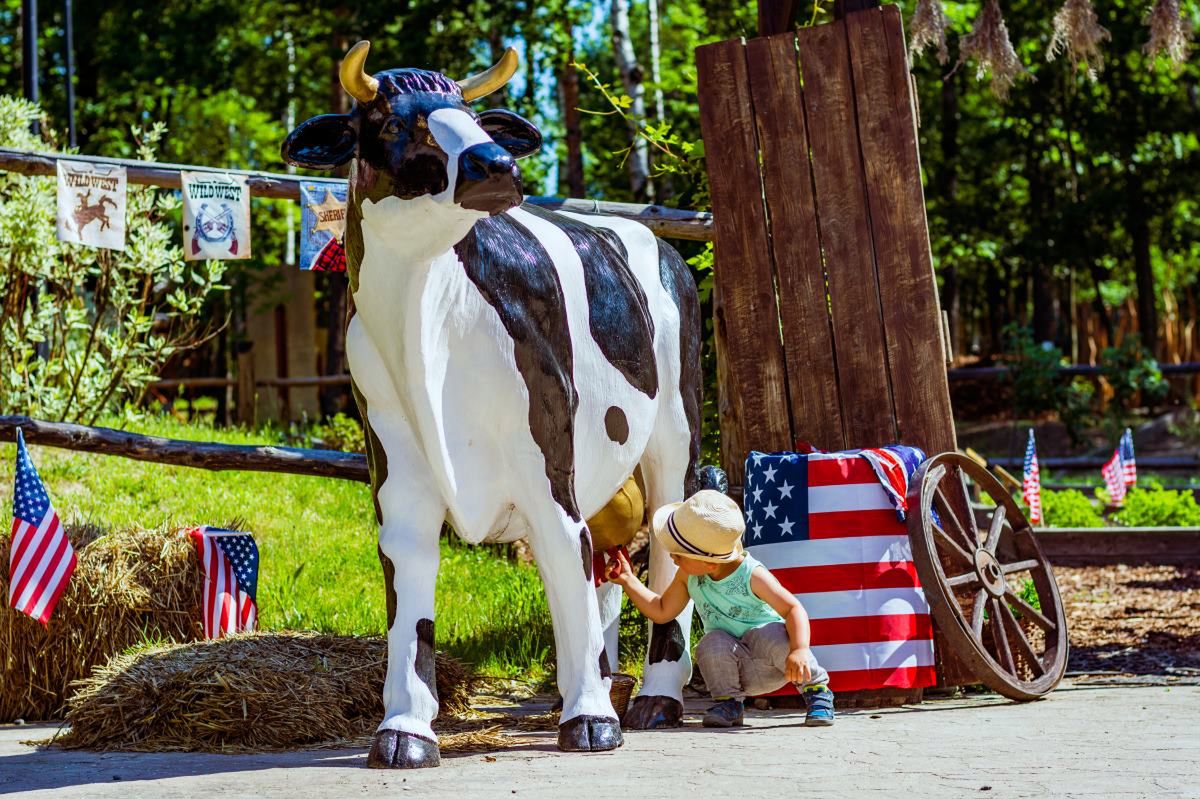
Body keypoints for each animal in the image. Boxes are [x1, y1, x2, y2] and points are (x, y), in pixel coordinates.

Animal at [283, 41, 700, 767]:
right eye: (392, 122)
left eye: (473, 115)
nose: (497, 165)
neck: (424, 316)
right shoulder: (395, 466)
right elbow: (409, 585)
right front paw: (405, 727)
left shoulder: (548, 460)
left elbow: (561, 552)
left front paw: (591, 719)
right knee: (608, 561)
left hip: (673, 432)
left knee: (667, 541)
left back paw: (655, 698)